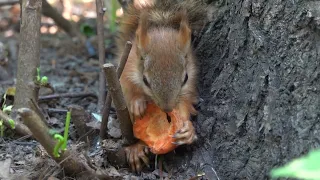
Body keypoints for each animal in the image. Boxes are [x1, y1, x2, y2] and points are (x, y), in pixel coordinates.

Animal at [116, 0, 209, 174]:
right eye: (145, 80)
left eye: (186, 78)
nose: (167, 108)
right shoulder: (127, 70)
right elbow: (129, 90)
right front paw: (137, 103)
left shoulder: (190, 85)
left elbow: (185, 104)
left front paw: (188, 131)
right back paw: (136, 148)